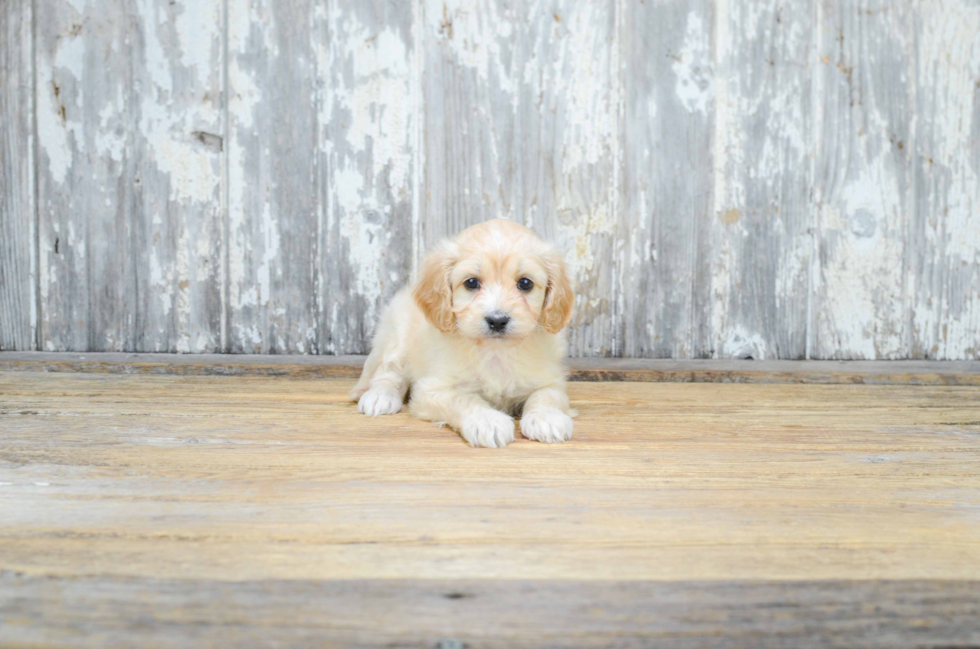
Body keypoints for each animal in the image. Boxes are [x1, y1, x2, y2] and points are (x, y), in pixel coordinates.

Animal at [350, 218, 576, 446]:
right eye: (472, 282)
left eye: (525, 283)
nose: (497, 320)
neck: (495, 352)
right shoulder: (432, 389)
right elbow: (463, 399)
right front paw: (487, 421)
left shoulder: (551, 380)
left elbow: (546, 396)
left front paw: (546, 418)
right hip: (398, 334)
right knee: (388, 371)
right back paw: (380, 397)